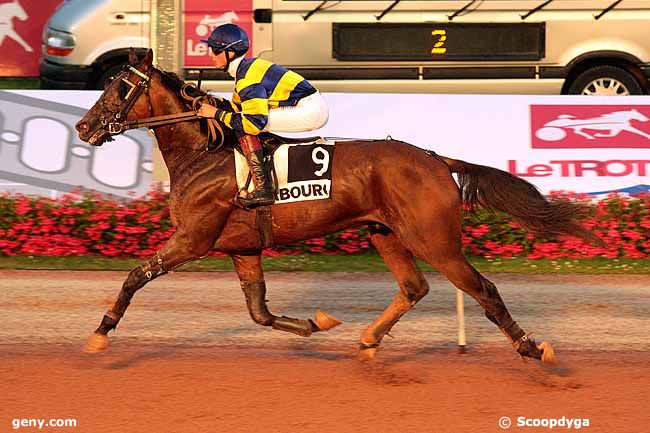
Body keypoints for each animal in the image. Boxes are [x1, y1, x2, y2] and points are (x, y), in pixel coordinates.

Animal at [74, 49, 592, 362]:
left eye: (121, 87)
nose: (83, 127)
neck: (204, 154)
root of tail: (434, 158)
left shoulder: (192, 239)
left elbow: (135, 277)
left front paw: (101, 331)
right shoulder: (242, 249)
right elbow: (259, 312)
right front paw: (316, 322)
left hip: (435, 239)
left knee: (482, 289)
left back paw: (531, 348)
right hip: (386, 233)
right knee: (414, 287)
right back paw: (369, 339)